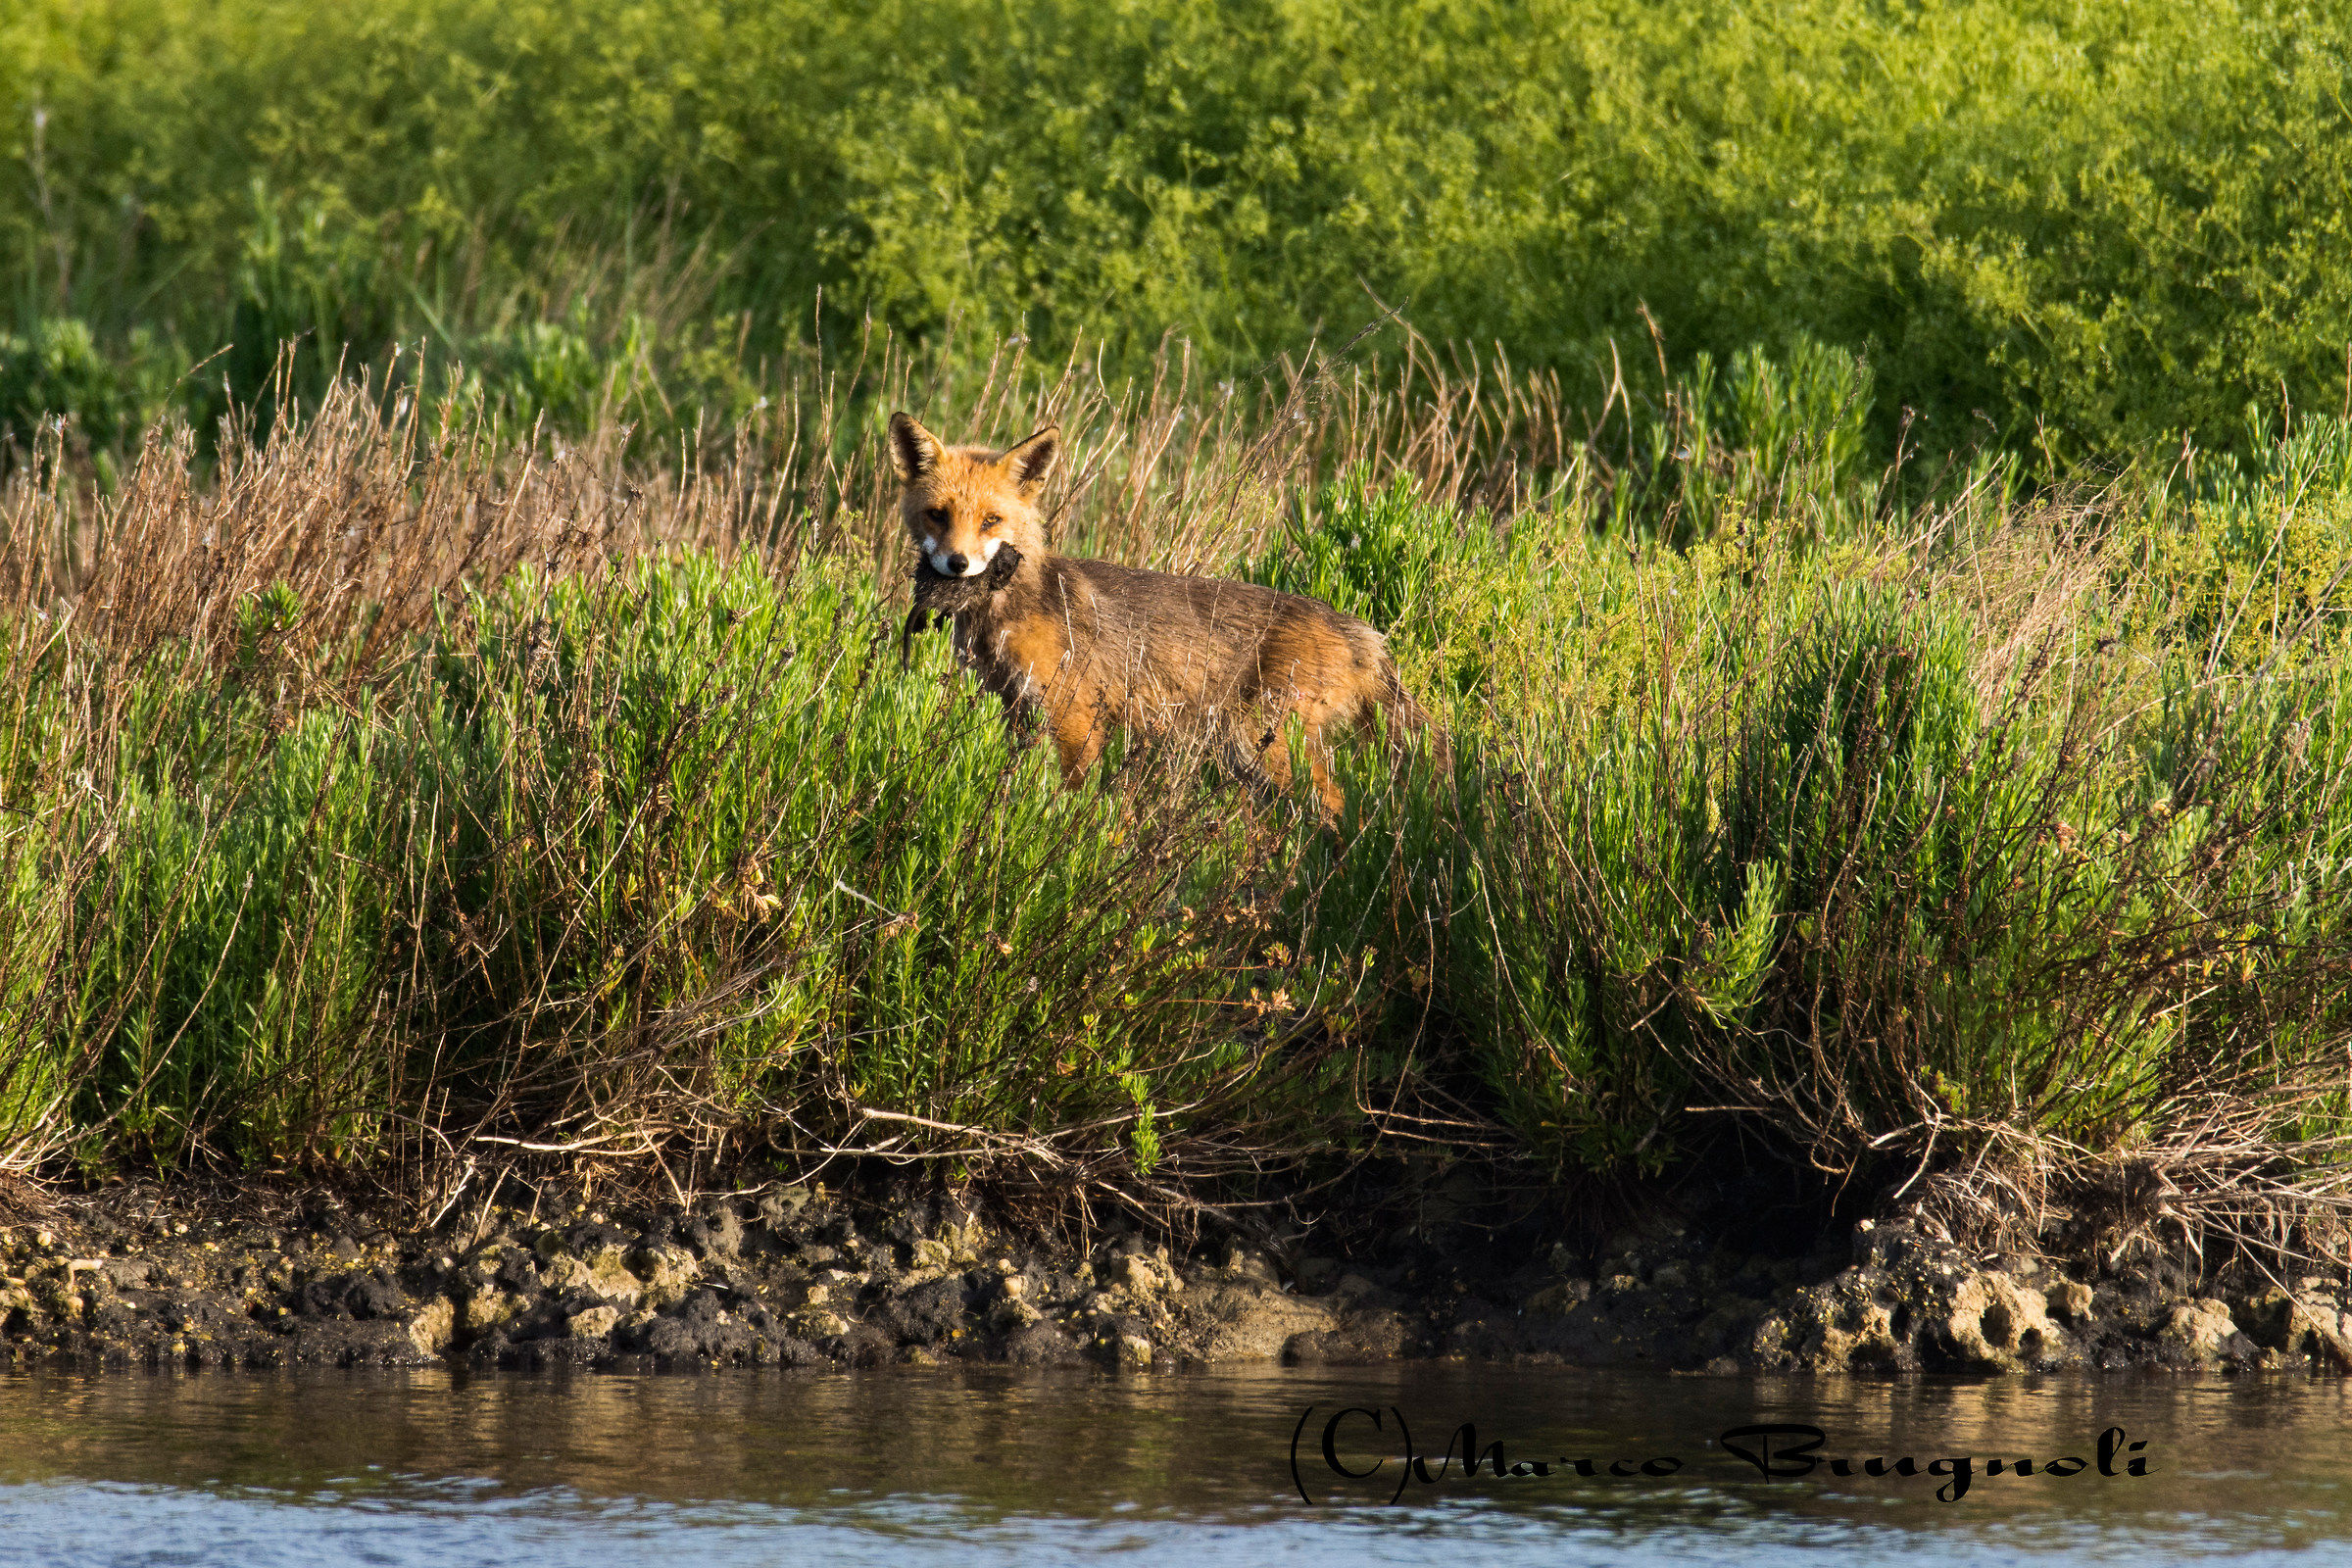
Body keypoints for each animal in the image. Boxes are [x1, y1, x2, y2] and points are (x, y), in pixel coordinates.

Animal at [888, 410, 1437, 818]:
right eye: (938, 515)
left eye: (991, 520)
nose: (957, 565)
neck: (1011, 605)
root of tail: (1360, 630)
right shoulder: (1017, 710)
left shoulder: (1075, 718)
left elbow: (1068, 799)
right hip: (1245, 753)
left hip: (1266, 743)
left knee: (1337, 808)